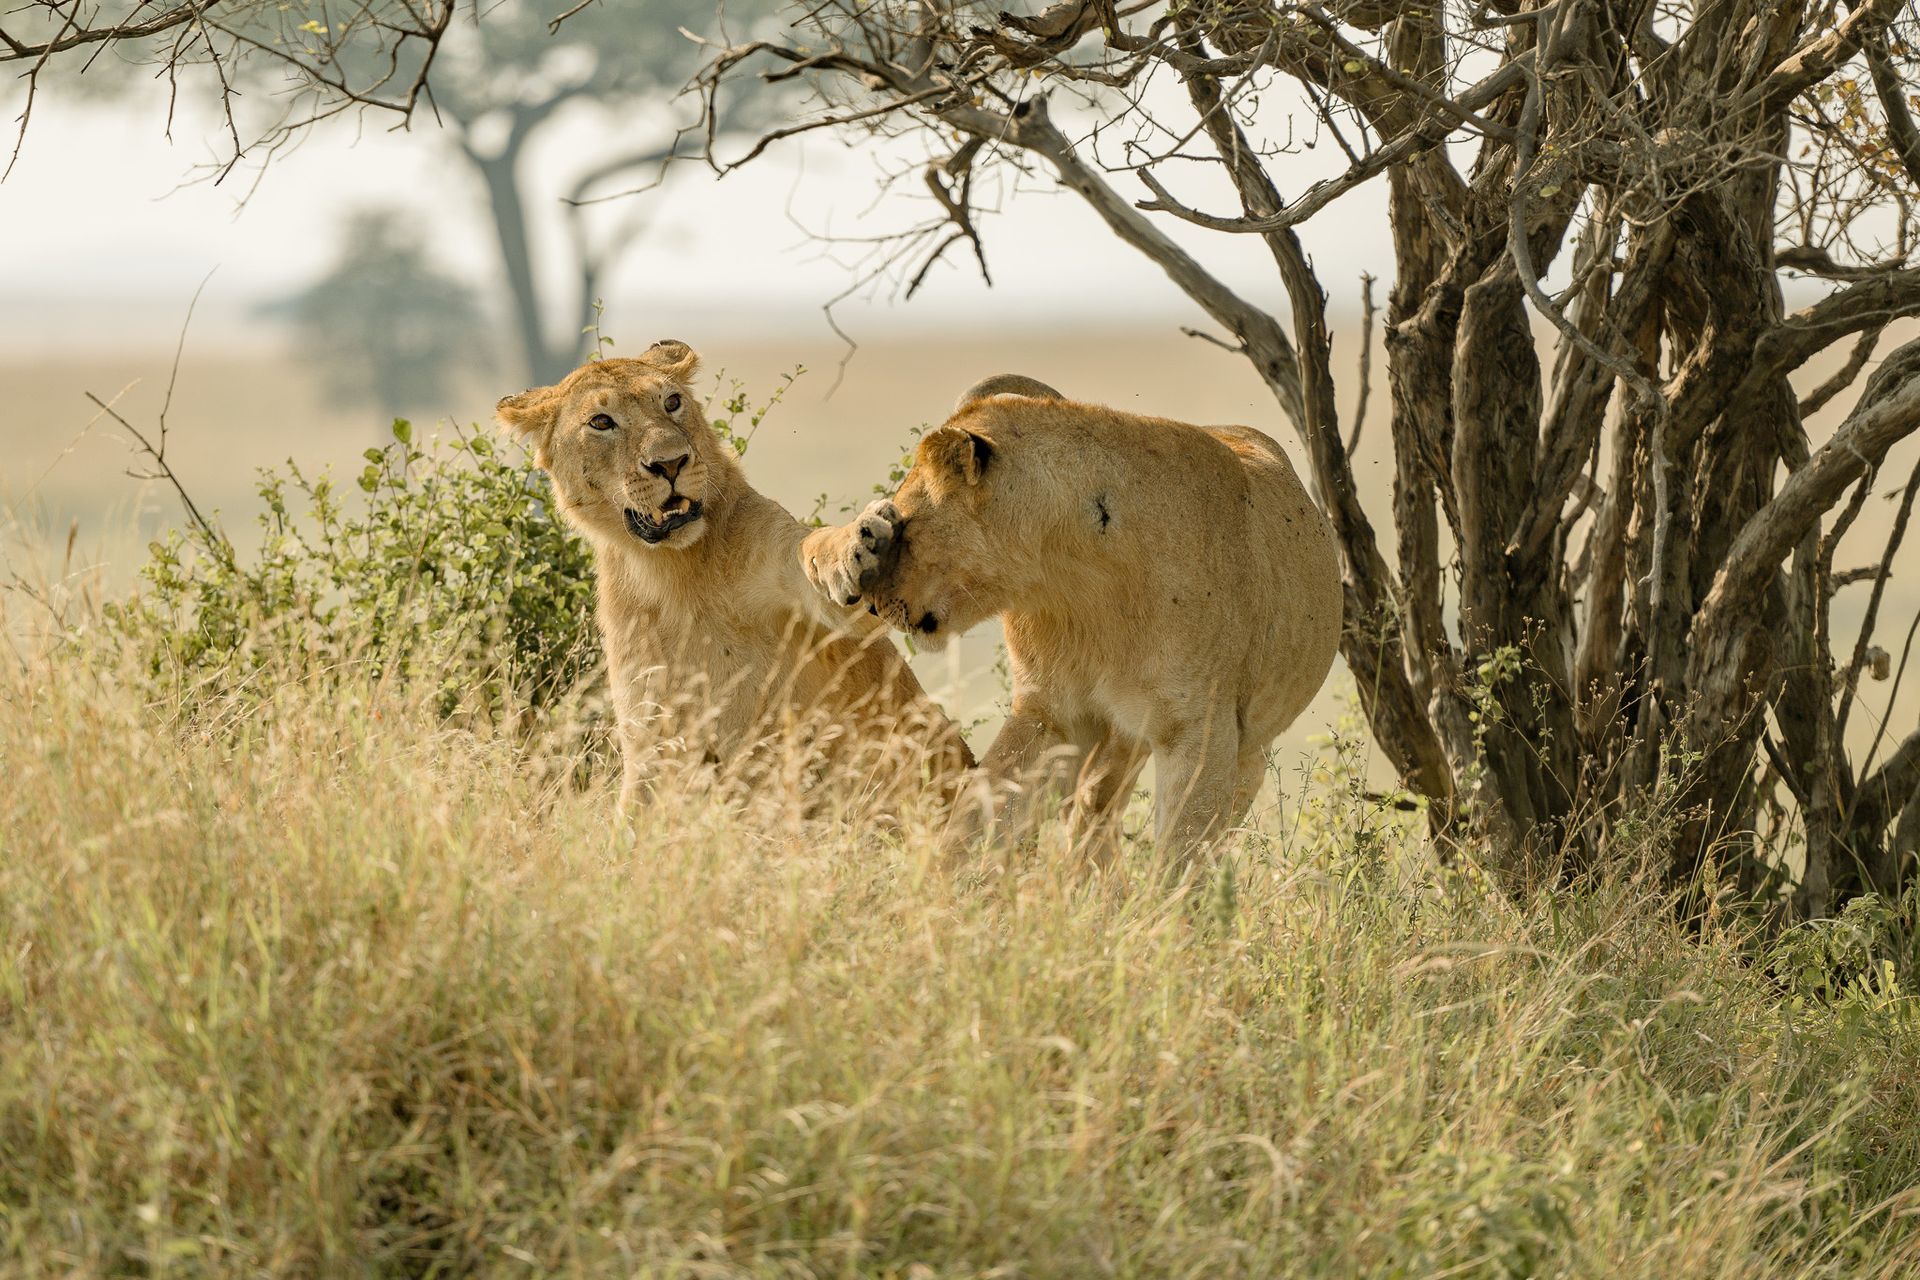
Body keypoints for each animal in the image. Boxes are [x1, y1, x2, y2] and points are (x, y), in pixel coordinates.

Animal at [496, 341, 973, 811]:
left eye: (672, 402)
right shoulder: (648, 726)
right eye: (601, 422)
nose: (670, 464)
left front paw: (861, 548)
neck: (669, 569)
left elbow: (817, 559)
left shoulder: (788, 567)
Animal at [804, 373, 1341, 859]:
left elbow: (1183, 853)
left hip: (1247, 744)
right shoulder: (1050, 711)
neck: (1077, 581)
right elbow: (979, 816)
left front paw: (1167, 910)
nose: (874, 606)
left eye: (904, 524)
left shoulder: (1202, 729)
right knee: (1094, 810)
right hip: (1121, 738)